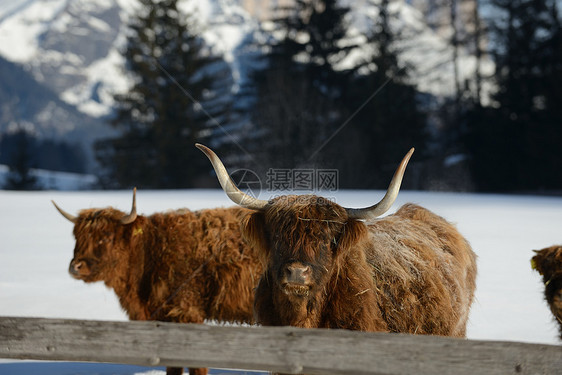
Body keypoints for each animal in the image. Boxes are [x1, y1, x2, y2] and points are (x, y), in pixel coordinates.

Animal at [53, 191, 262, 375]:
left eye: (106, 237)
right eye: (77, 237)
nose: (76, 266)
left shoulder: (186, 312)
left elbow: (196, 365)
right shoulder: (165, 316)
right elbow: (173, 366)